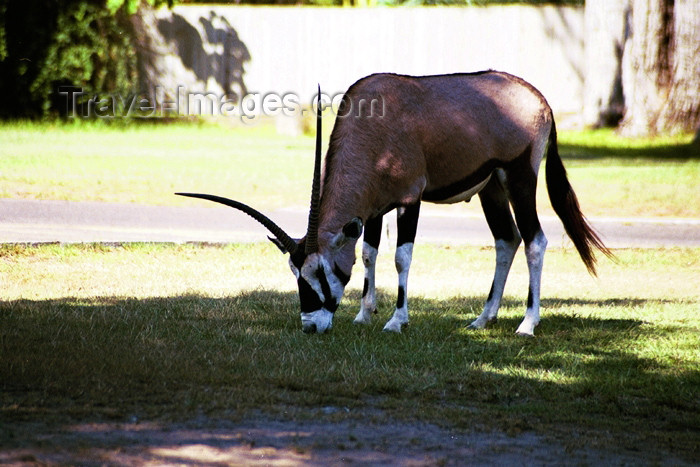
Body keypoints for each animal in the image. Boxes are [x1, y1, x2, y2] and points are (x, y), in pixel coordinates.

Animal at [178, 71, 608, 336]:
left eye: (319, 272)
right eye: (294, 272)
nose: (310, 325)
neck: (375, 123)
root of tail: (539, 99)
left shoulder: (408, 199)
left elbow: (402, 255)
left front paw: (396, 321)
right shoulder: (373, 208)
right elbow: (369, 253)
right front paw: (363, 314)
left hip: (519, 178)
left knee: (535, 241)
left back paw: (527, 324)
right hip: (491, 189)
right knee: (507, 240)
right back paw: (482, 320)